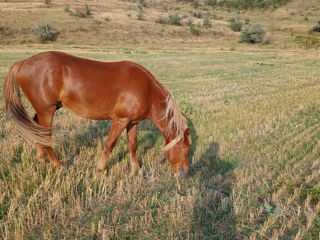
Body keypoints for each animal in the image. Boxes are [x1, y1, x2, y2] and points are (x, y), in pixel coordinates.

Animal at [3, 51, 190, 178]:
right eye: (187, 151)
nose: (184, 174)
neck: (146, 89)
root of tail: (23, 62)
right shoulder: (120, 120)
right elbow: (109, 144)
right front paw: (100, 169)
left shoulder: (132, 122)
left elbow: (133, 145)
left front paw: (136, 169)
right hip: (46, 111)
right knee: (46, 138)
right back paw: (58, 166)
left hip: (46, 110)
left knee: (37, 130)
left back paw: (41, 158)